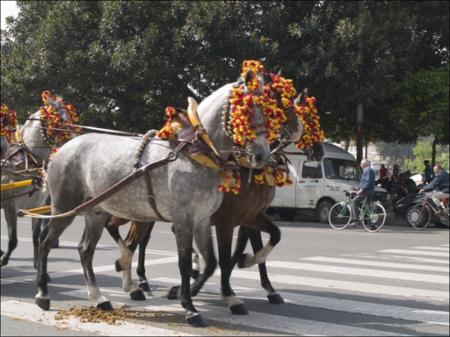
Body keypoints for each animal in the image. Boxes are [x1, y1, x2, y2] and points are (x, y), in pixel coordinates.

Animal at [34, 77, 270, 326]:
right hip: (65, 207)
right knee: (45, 242)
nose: (262, 155)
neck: (196, 152)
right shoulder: (184, 220)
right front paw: (189, 307)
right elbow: (184, 263)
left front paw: (189, 293)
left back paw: (99, 297)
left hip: (95, 212)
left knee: (85, 250)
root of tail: (62, 149)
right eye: (246, 110)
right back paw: (43, 293)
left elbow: (211, 262)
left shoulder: (203, 220)